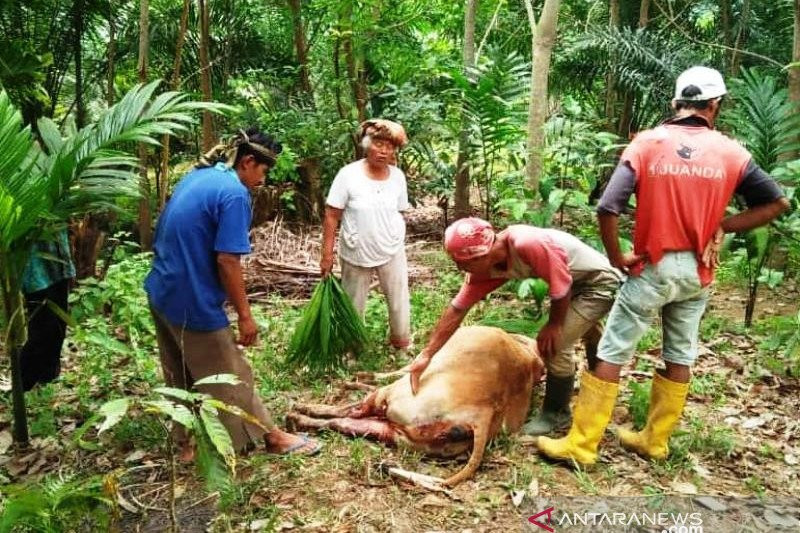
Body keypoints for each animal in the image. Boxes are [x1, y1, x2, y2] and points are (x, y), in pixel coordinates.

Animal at [288, 324, 544, 486]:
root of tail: (483, 412)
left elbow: (391, 373)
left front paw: (354, 379)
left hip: (395, 396)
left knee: (350, 411)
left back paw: (301, 410)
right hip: (398, 433)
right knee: (343, 422)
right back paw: (300, 418)